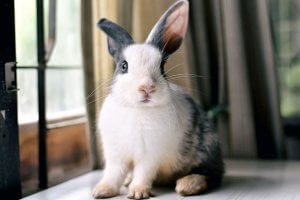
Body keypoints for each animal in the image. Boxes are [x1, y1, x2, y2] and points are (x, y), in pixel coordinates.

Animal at [92, 0, 224, 199]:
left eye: (162, 67)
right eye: (123, 66)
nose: (147, 87)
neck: (137, 109)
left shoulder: (150, 155)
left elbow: (143, 173)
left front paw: (137, 192)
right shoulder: (116, 155)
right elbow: (113, 173)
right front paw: (101, 190)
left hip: (207, 148)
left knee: (211, 174)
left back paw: (187, 184)